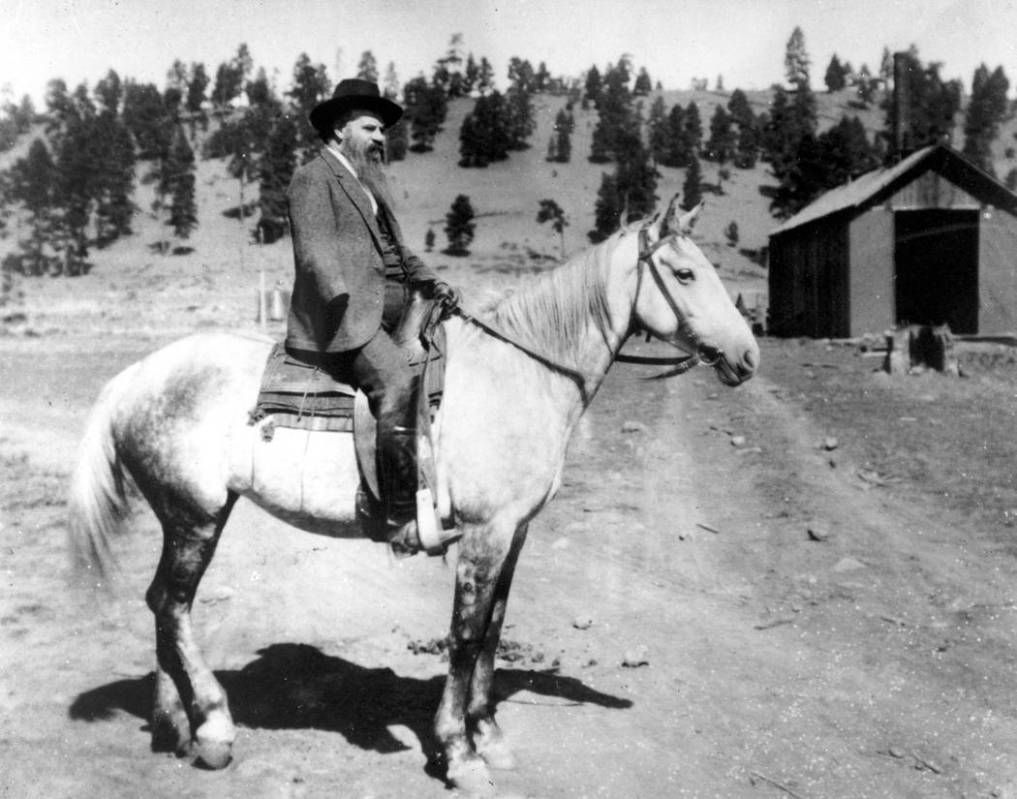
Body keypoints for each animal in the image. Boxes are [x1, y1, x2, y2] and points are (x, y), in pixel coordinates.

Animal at [69, 196, 756, 792]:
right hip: (196, 516)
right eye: (686, 273)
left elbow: (494, 630)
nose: (747, 356)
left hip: (185, 517)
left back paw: (175, 727)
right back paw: (213, 727)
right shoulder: (485, 532)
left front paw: (489, 736)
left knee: (165, 605)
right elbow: (465, 636)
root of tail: (134, 376)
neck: (521, 373)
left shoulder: (515, 532)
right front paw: (459, 753)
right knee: (172, 605)